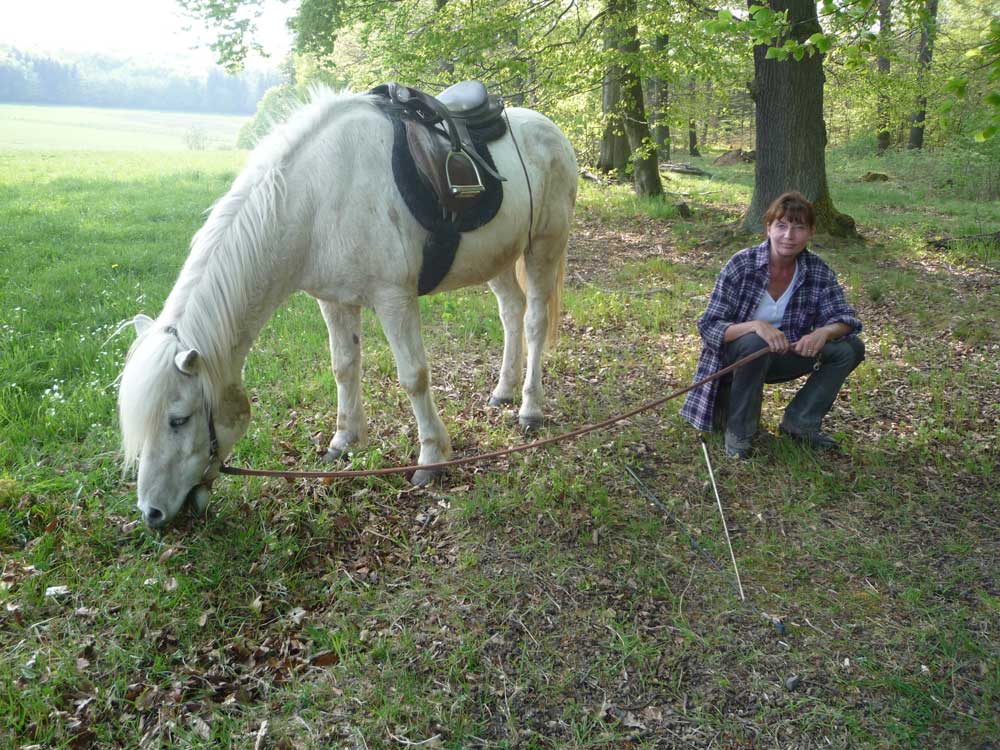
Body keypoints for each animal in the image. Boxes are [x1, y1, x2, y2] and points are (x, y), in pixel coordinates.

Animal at [117, 88, 577, 528]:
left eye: (179, 419)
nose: (151, 514)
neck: (316, 198)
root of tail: (550, 129)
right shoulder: (334, 300)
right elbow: (344, 367)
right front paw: (344, 441)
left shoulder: (394, 299)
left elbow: (413, 377)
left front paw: (432, 458)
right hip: (497, 258)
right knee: (511, 313)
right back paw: (503, 390)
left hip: (544, 247)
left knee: (534, 321)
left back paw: (530, 409)